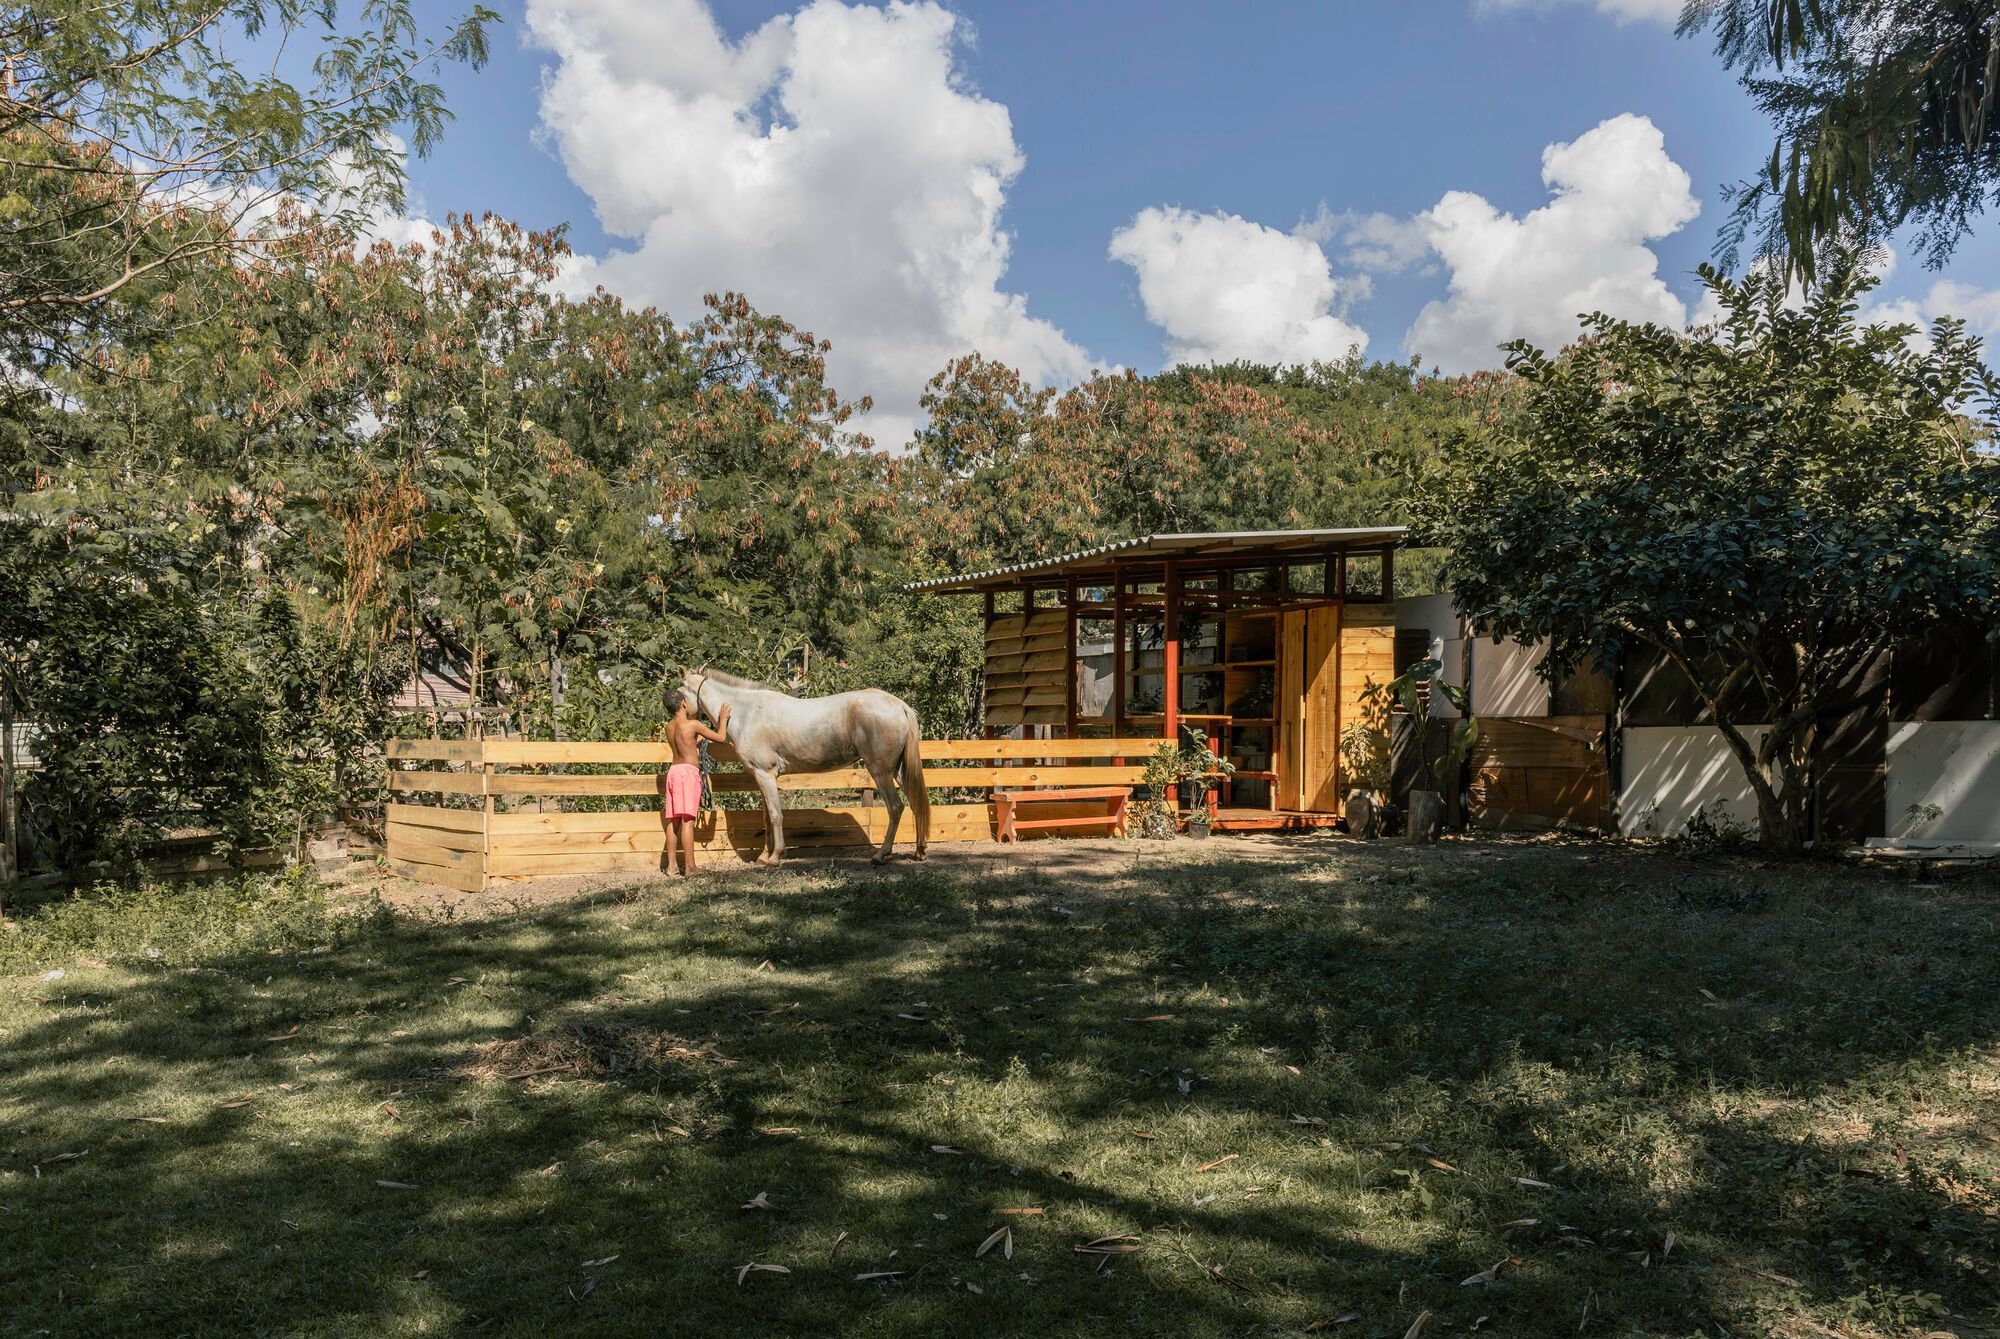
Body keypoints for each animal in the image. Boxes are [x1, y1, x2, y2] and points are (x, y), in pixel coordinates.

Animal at [684, 671, 932, 871]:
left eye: (680, 689)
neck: (747, 713)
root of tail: (900, 706)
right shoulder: (760, 777)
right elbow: (766, 817)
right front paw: (764, 855)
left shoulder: (766, 775)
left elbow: (775, 815)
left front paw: (775, 857)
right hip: (898, 771)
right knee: (915, 803)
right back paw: (919, 851)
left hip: (880, 772)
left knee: (896, 807)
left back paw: (881, 855)